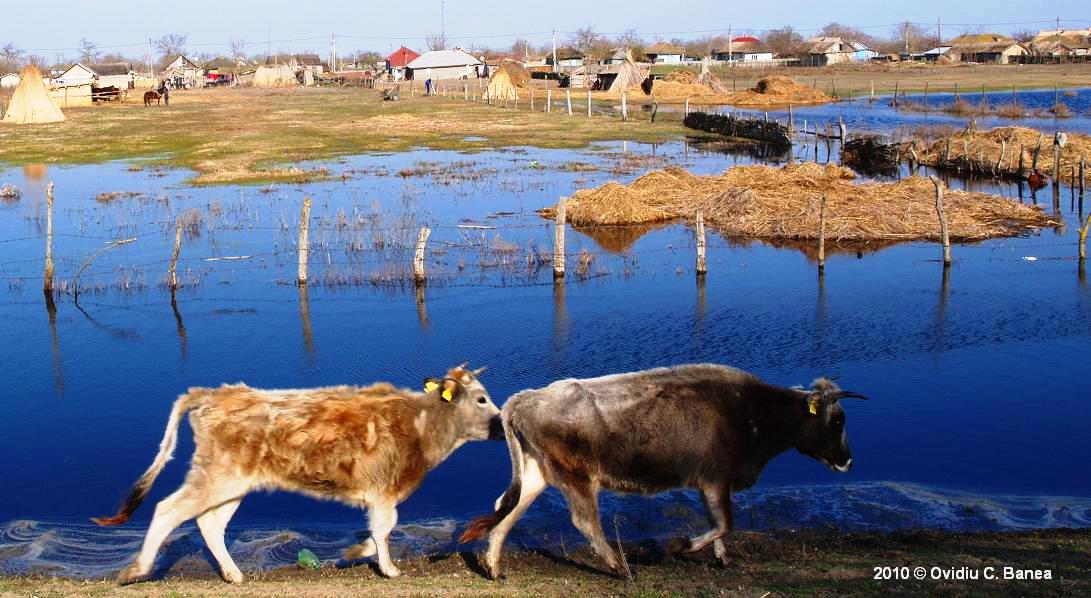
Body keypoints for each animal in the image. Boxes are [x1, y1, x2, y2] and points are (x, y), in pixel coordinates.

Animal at [94, 364, 501, 584]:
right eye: (482, 398)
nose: (501, 424)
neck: (422, 427)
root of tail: (213, 393)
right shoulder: (384, 491)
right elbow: (385, 529)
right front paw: (388, 569)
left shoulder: (377, 494)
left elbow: (376, 530)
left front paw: (357, 551)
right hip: (215, 477)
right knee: (168, 510)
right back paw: (137, 569)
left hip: (232, 484)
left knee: (210, 523)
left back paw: (233, 574)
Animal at [460, 364, 868, 580]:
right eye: (838, 420)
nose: (848, 461)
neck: (752, 413)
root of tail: (525, 398)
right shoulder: (716, 477)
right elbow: (725, 523)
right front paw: (680, 546)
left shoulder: (711, 483)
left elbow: (719, 523)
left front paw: (722, 558)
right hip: (577, 476)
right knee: (586, 522)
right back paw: (621, 568)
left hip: (537, 471)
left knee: (506, 508)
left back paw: (493, 566)